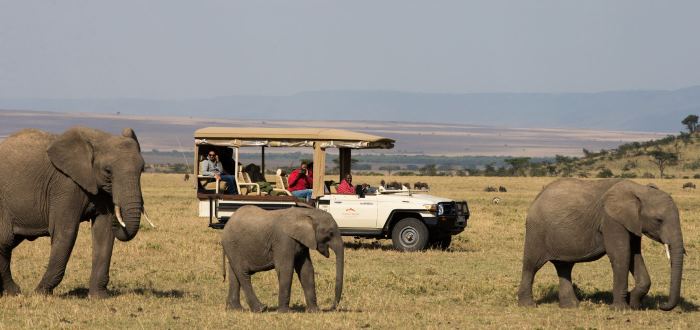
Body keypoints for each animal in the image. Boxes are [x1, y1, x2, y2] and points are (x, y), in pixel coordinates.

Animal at [0, 126, 146, 296]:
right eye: (108, 171)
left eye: (142, 170)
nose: (119, 213)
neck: (98, 138)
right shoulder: (65, 184)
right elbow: (66, 232)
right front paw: (40, 293)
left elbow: (104, 232)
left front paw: (99, 297)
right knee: (5, 241)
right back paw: (15, 292)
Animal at [520, 178, 684, 310]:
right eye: (658, 220)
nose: (662, 305)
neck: (638, 189)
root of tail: (538, 196)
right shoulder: (611, 220)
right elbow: (621, 255)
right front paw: (621, 309)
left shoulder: (633, 223)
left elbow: (634, 255)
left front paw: (635, 304)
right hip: (536, 231)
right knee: (531, 265)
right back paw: (528, 305)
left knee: (564, 267)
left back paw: (571, 306)